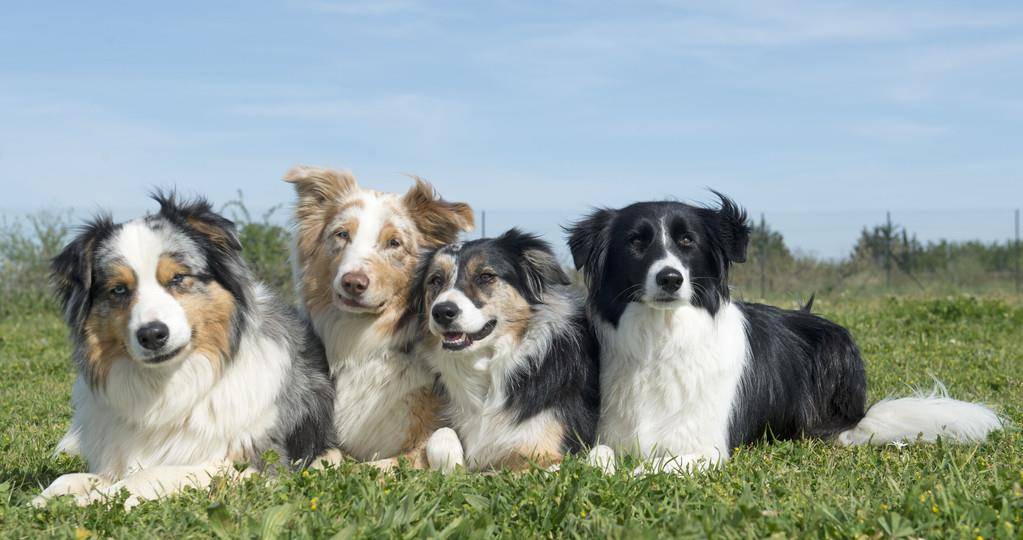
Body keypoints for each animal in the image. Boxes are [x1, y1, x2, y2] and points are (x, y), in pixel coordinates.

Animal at [34, 193, 331, 507]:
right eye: (119, 289)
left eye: (177, 278)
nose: (152, 335)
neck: (169, 387)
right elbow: (68, 478)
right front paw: (44, 499)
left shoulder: (258, 465)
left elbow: (149, 474)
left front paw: (94, 500)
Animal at [284, 165, 474, 468]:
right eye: (342, 234)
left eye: (394, 242)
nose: (353, 282)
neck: (365, 345)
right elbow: (328, 458)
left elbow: (383, 463)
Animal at [405, 230, 597, 470]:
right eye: (435, 280)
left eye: (486, 276)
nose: (442, 312)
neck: (488, 367)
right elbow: (440, 434)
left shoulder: (547, 452)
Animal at [572, 196, 1002, 474]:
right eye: (636, 242)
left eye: (687, 241)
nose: (670, 278)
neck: (663, 338)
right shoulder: (609, 434)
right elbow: (597, 458)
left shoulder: (709, 447)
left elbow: (659, 465)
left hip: (835, 354)